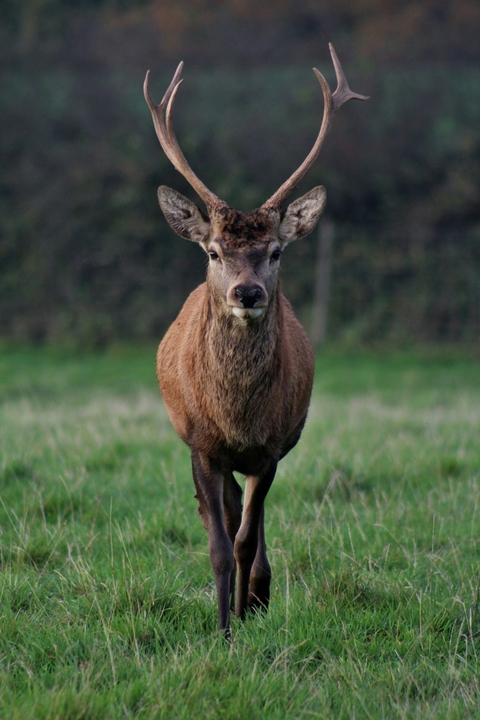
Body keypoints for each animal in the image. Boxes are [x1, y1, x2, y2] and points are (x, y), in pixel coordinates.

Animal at [144, 44, 367, 635]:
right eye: (214, 251)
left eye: (276, 251)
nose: (247, 293)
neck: (237, 414)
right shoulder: (202, 443)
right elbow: (219, 545)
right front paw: (222, 627)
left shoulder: (270, 448)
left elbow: (245, 540)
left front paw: (244, 613)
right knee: (222, 514)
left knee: (251, 519)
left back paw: (260, 596)